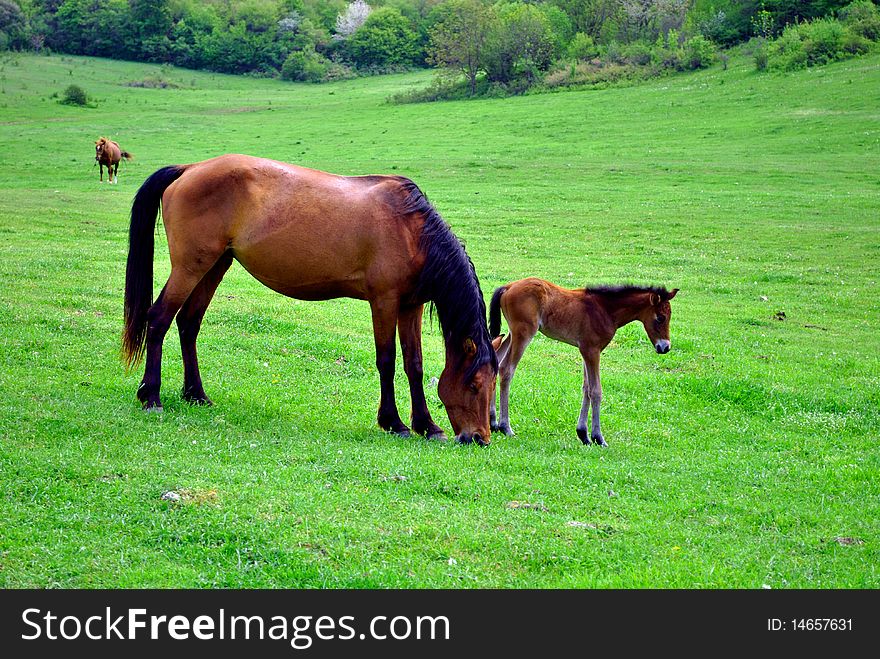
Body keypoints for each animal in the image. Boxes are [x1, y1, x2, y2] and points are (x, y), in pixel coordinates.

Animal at [122, 154, 502, 444]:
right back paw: (151, 395)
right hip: (190, 267)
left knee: (188, 323)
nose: (479, 438)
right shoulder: (384, 301)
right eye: (473, 384)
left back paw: (196, 394)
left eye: (493, 383)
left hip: (215, 265)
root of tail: (190, 168)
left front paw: (426, 425)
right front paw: (393, 422)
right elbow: (387, 361)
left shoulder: (411, 305)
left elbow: (414, 364)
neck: (412, 231)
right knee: (159, 319)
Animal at [488, 278, 680, 448]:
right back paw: (505, 426)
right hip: (524, 333)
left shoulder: (586, 351)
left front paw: (583, 435)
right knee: (507, 369)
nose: (665, 347)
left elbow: (586, 388)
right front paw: (598, 437)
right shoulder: (592, 350)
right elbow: (596, 391)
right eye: (660, 318)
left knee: (496, 361)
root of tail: (508, 287)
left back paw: (493, 422)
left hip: (512, 333)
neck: (605, 310)